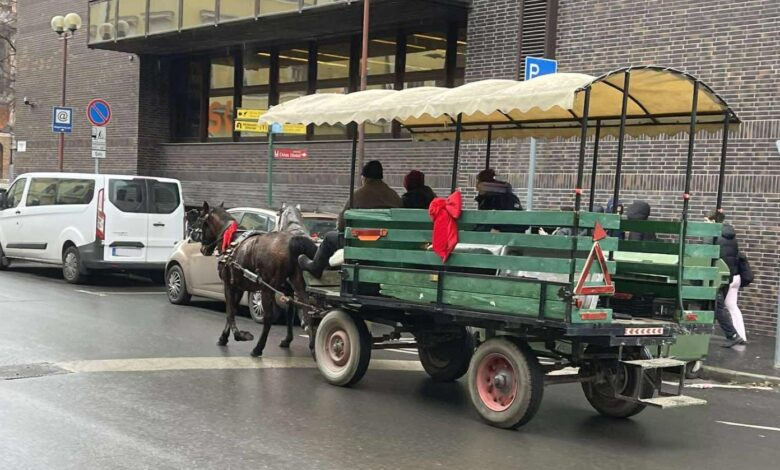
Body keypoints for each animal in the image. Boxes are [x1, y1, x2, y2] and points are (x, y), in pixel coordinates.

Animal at [195, 202, 318, 357]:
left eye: (201, 222)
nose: (203, 249)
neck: (231, 241)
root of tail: (291, 241)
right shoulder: (239, 287)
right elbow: (233, 310)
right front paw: (224, 337)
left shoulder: (228, 284)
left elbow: (229, 312)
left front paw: (238, 335)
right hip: (298, 284)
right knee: (307, 311)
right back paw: (312, 346)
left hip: (267, 289)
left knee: (268, 318)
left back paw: (258, 348)